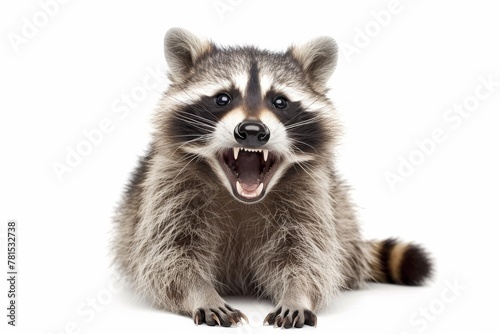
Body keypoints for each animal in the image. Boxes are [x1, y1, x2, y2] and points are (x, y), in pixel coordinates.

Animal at [112, 26, 430, 328]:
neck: (241, 198)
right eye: (223, 99)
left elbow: (307, 255)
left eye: (280, 102)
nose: (252, 130)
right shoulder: (168, 186)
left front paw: (297, 293)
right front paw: (200, 293)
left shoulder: (311, 195)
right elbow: (168, 255)